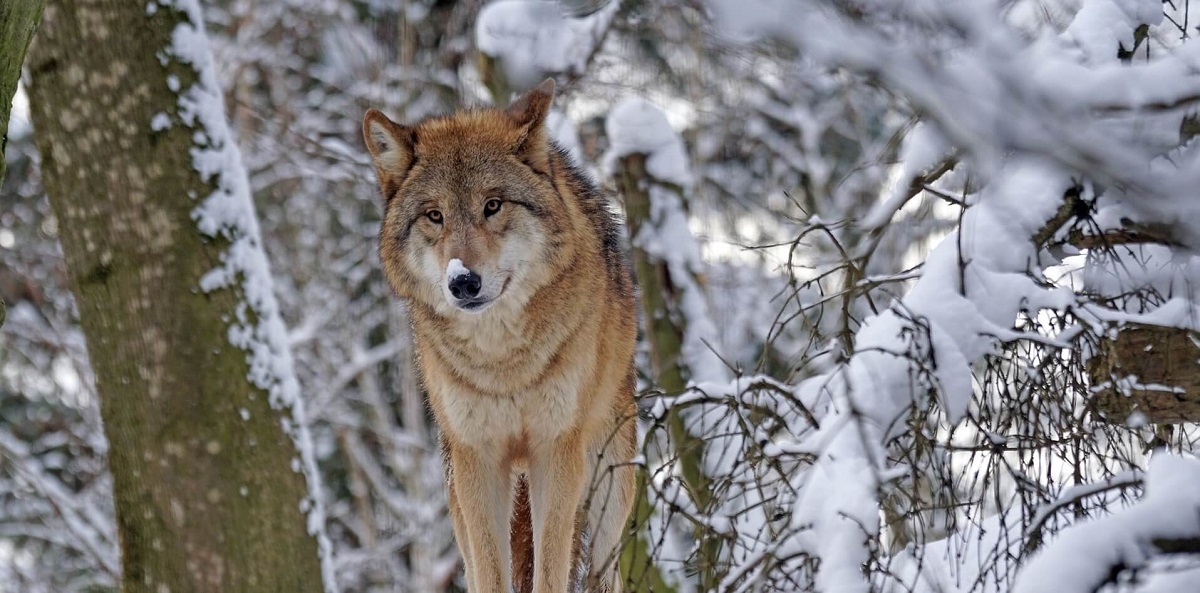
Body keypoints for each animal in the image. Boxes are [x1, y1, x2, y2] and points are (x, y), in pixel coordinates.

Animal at [362, 79, 638, 593]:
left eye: (492, 206)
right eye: (435, 215)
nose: (462, 282)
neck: (503, 361)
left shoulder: (557, 450)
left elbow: (550, 571)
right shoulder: (478, 459)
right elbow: (492, 572)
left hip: (610, 486)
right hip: (457, 487)